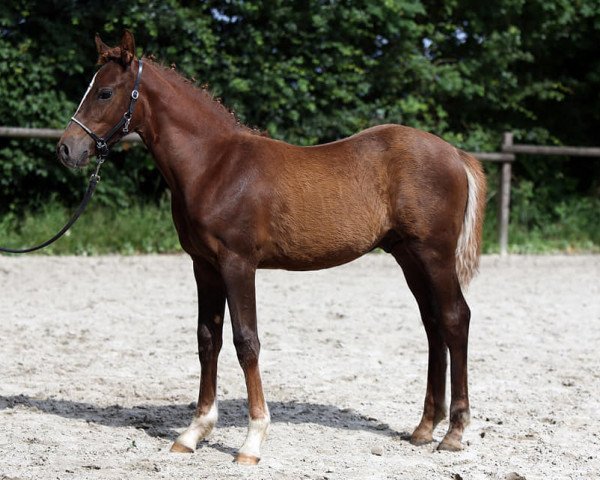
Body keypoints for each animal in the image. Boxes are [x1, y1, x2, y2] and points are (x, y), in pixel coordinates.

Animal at [56, 31, 488, 464]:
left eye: (105, 92)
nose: (67, 149)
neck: (215, 165)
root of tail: (454, 153)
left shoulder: (237, 264)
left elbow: (246, 342)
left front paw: (251, 441)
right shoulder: (204, 266)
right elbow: (207, 340)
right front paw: (193, 432)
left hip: (434, 255)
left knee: (455, 318)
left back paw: (454, 432)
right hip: (408, 256)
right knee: (432, 324)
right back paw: (424, 428)